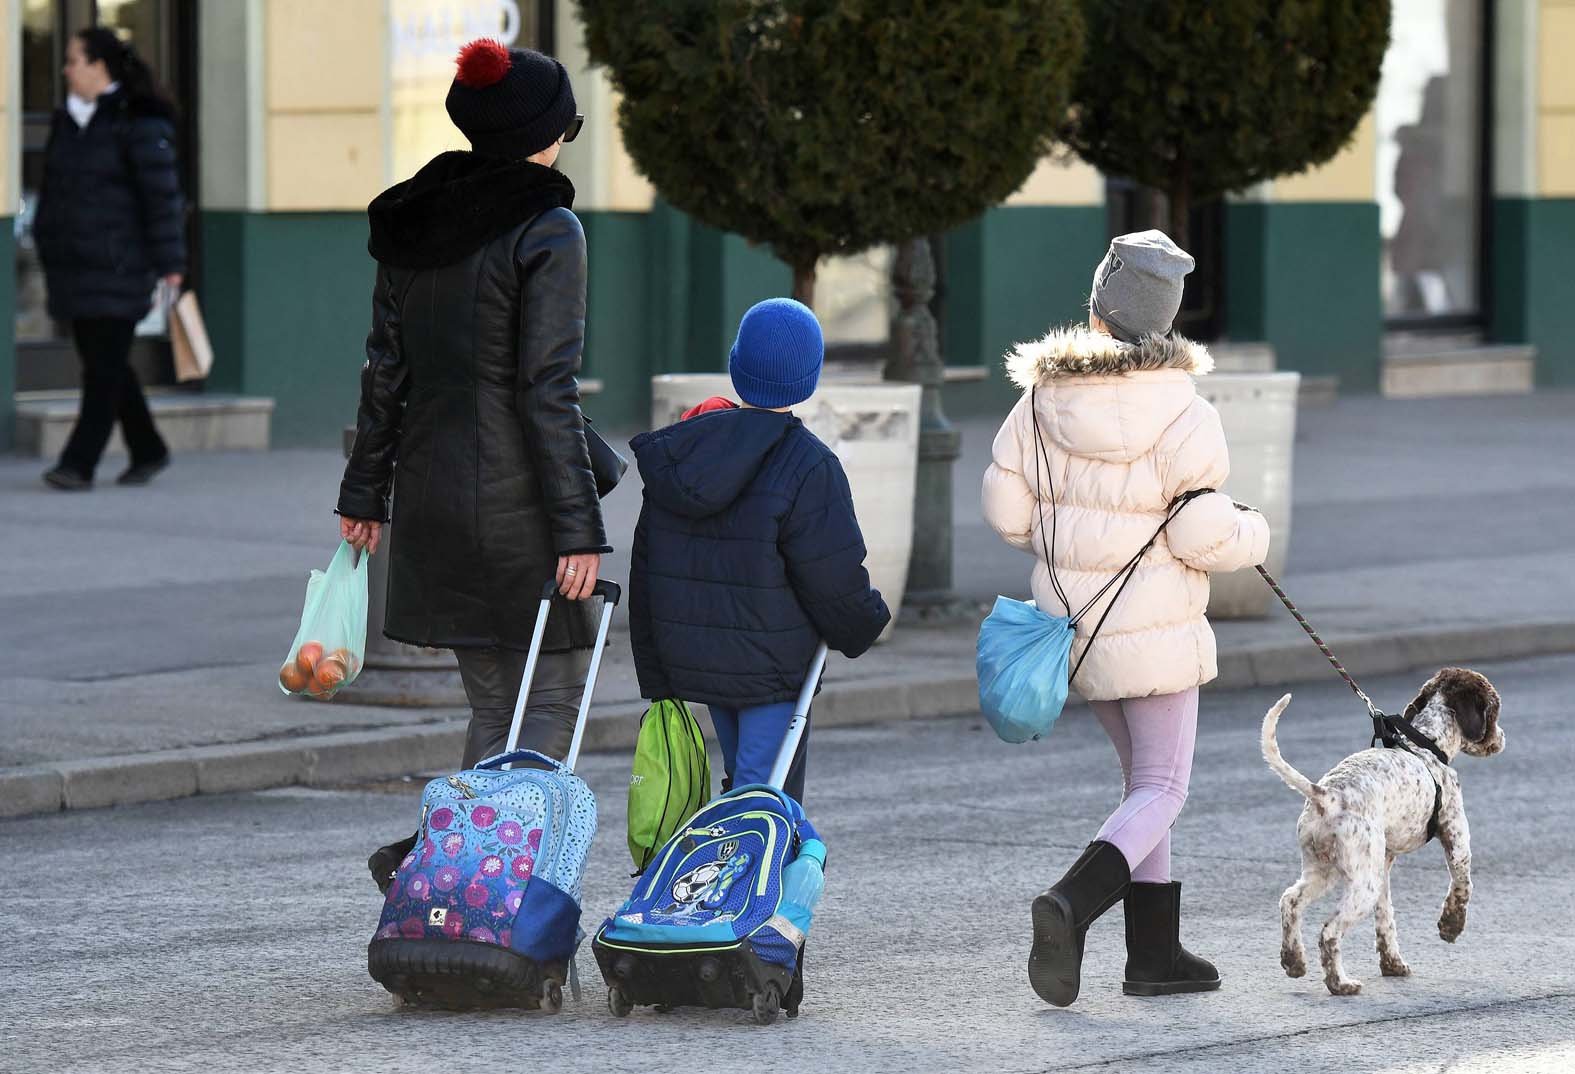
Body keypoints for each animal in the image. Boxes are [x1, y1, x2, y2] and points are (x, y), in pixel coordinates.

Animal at [1260, 667, 1505, 995]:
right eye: (1494, 707)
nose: (1501, 738)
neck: (1427, 744)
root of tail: (1327, 796)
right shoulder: (1457, 840)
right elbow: (1462, 886)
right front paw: (1450, 927)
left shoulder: (1385, 864)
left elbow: (1386, 918)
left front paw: (1392, 964)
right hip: (1362, 884)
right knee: (1329, 931)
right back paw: (1340, 983)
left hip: (1327, 870)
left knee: (1289, 902)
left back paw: (1293, 961)